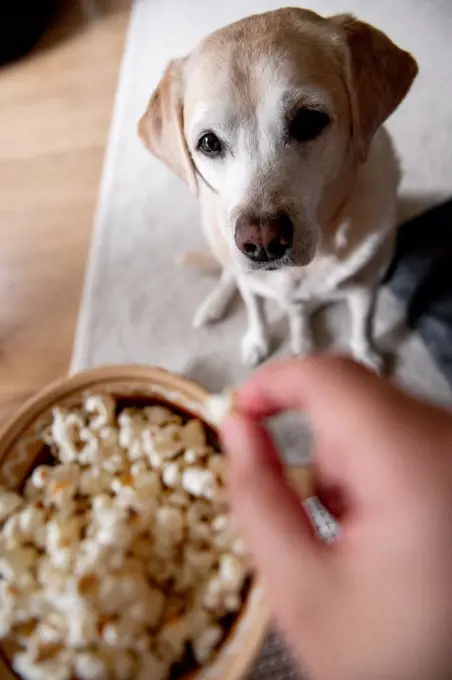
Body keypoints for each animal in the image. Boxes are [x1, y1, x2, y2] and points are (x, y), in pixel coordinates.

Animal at [139, 7, 418, 370]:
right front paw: (257, 343)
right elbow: (256, 313)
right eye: (209, 142)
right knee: (230, 276)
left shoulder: (365, 289)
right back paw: (213, 308)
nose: (262, 243)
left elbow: (363, 325)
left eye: (309, 121)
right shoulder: (251, 283)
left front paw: (365, 356)